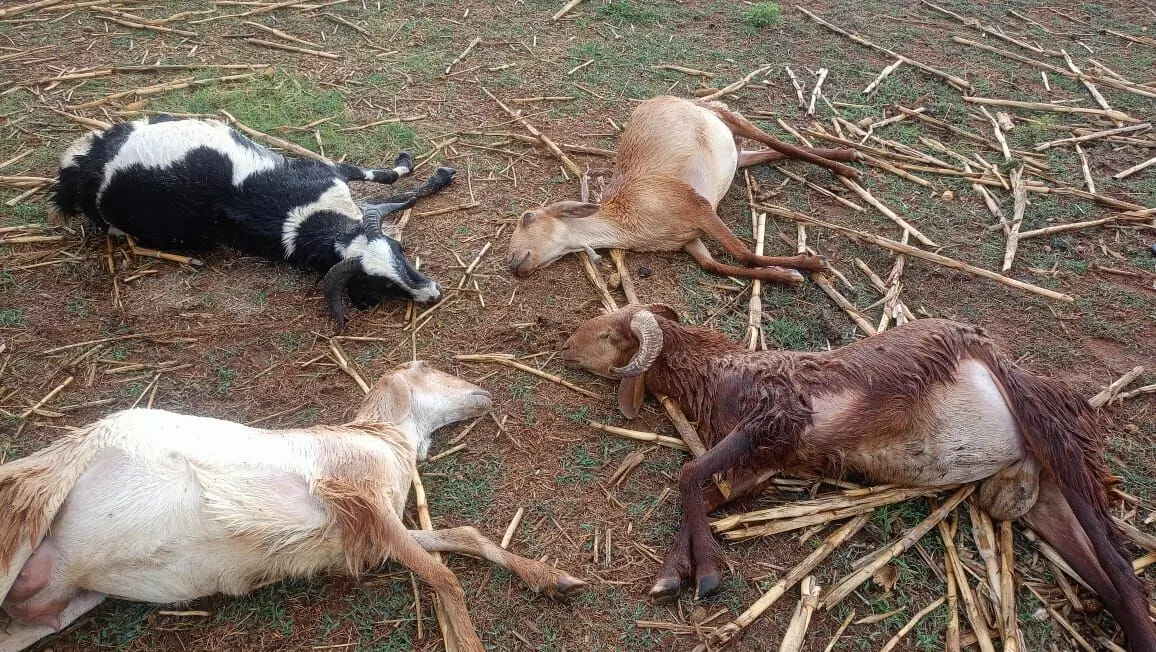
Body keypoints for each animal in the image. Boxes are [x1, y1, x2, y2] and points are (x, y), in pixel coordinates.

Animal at [0, 361, 585, 652]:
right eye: (436, 373)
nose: (485, 392)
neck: (386, 441)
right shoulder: (360, 496)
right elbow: (443, 575)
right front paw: (466, 640)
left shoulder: (374, 530)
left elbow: (464, 537)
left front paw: (554, 578)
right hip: (23, 517)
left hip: (53, 602)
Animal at [52, 115, 457, 329]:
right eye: (376, 284)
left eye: (399, 250)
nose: (432, 293)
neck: (315, 222)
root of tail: (81, 170)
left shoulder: (323, 173)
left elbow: (379, 177)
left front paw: (430, 172)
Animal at [506, 96, 859, 286]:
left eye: (527, 217)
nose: (512, 263)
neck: (631, 225)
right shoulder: (688, 239)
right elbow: (713, 265)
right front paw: (788, 274)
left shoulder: (696, 205)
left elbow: (742, 252)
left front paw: (811, 264)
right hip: (735, 152)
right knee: (761, 152)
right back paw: (846, 156)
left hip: (724, 114)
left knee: (779, 142)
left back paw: (847, 165)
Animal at [561, 304, 1156, 650]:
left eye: (609, 334)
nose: (564, 342)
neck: (718, 372)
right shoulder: (763, 465)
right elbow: (704, 496)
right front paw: (673, 574)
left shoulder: (776, 418)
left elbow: (688, 474)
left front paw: (705, 575)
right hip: (1040, 494)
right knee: (1107, 573)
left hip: (1052, 436)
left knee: (1122, 568)